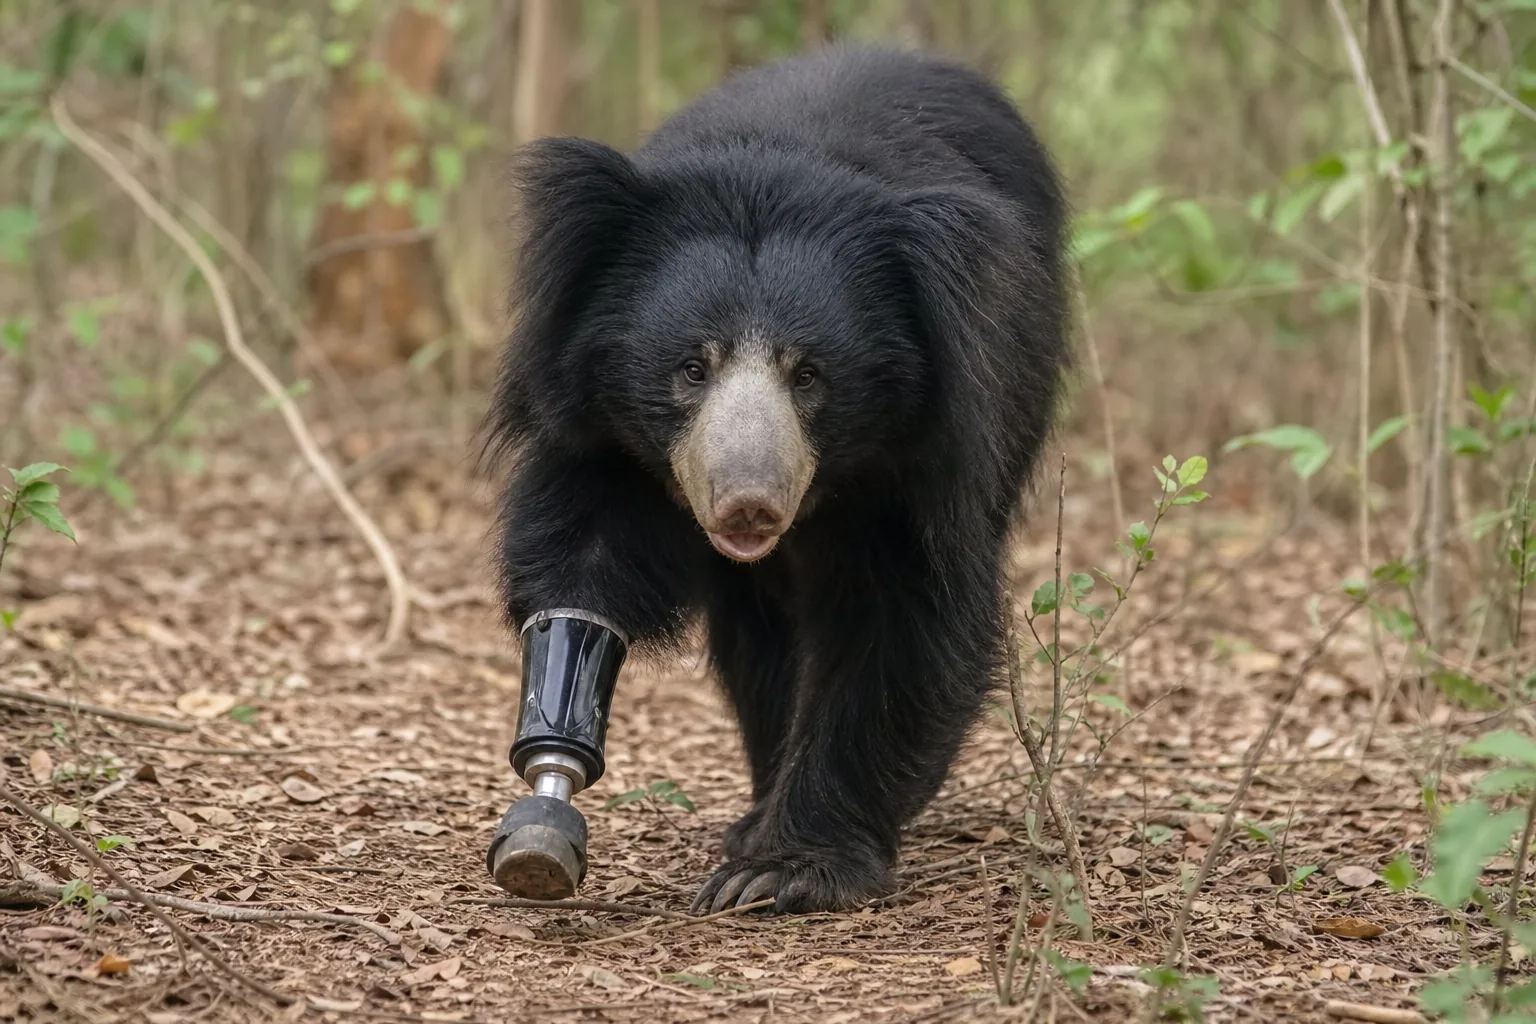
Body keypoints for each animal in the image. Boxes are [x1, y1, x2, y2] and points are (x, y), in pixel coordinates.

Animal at [487, 44, 1070, 915]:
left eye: (810, 375)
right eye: (691, 367)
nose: (749, 506)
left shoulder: (924, 461)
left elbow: (901, 620)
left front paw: (782, 870)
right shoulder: (596, 430)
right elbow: (585, 561)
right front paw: (545, 808)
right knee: (757, 637)